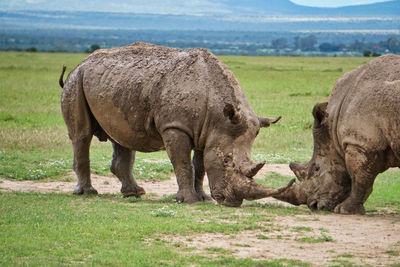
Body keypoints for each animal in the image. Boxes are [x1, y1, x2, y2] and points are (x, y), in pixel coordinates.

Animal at [58, 42, 294, 207]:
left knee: (122, 136)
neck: (219, 114)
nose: (233, 202)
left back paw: (135, 193)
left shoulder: (208, 131)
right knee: (81, 135)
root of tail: (82, 62)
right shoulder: (175, 126)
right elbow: (182, 163)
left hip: (116, 85)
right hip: (76, 81)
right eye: (227, 161)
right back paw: (87, 193)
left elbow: (200, 165)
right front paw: (188, 200)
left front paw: (204, 198)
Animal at [274, 55, 400, 216]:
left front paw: (344, 210)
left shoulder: (359, 143)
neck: (333, 126)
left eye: (317, 169)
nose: (314, 205)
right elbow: (362, 180)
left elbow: (360, 178)